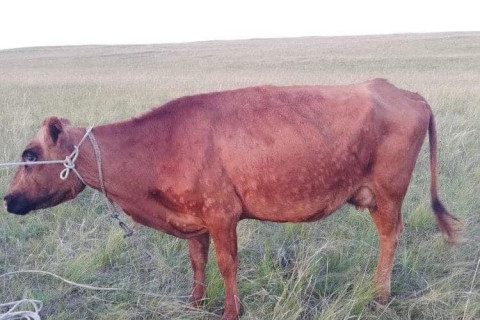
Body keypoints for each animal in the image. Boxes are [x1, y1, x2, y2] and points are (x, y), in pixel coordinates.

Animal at [3, 79, 458, 318]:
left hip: (388, 193)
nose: (8, 200)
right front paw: (195, 303)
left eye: (30, 155)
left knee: (390, 236)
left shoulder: (222, 215)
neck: (159, 145)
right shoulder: (195, 222)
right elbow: (197, 262)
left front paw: (229, 311)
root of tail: (403, 92)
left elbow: (227, 265)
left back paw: (380, 296)